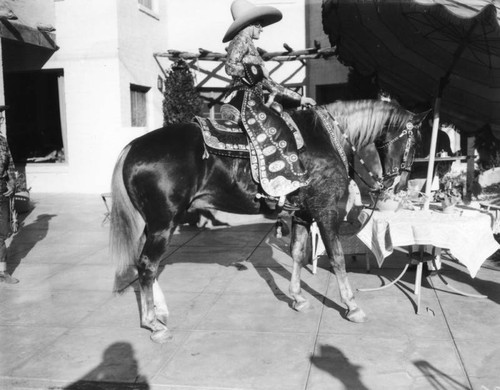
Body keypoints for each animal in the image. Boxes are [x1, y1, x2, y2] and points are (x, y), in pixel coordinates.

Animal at [110, 100, 426, 342]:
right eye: (413, 144)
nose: (399, 185)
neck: (328, 139)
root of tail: (132, 147)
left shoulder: (302, 215)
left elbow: (297, 254)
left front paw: (298, 298)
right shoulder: (326, 213)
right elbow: (337, 259)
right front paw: (352, 306)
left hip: (154, 225)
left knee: (147, 266)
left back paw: (159, 313)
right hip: (163, 224)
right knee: (148, 265)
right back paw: (154, 324)